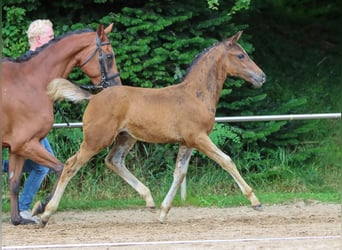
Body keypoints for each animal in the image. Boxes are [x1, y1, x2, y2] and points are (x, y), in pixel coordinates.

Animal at [1, 24, 121, 226]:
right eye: (109, 56)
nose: (117, 87)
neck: (31, 82)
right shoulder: (26, 144)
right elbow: (60, 168)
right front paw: (42, 206)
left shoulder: (17, 148)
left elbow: (14, 182)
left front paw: (18, 219)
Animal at [34, 30, 266, 226]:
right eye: (241, 56)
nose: (261, 76)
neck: (195, 95)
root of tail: (94, 97)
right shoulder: (199, 138)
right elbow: (227, 161)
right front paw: (255, 201)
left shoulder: (187, 143)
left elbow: (179, 173)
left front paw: (163, 212)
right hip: (95, 140)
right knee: (70, 165)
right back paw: (45, 214)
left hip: (125, 138)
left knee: (113, 161)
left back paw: (150, 200)